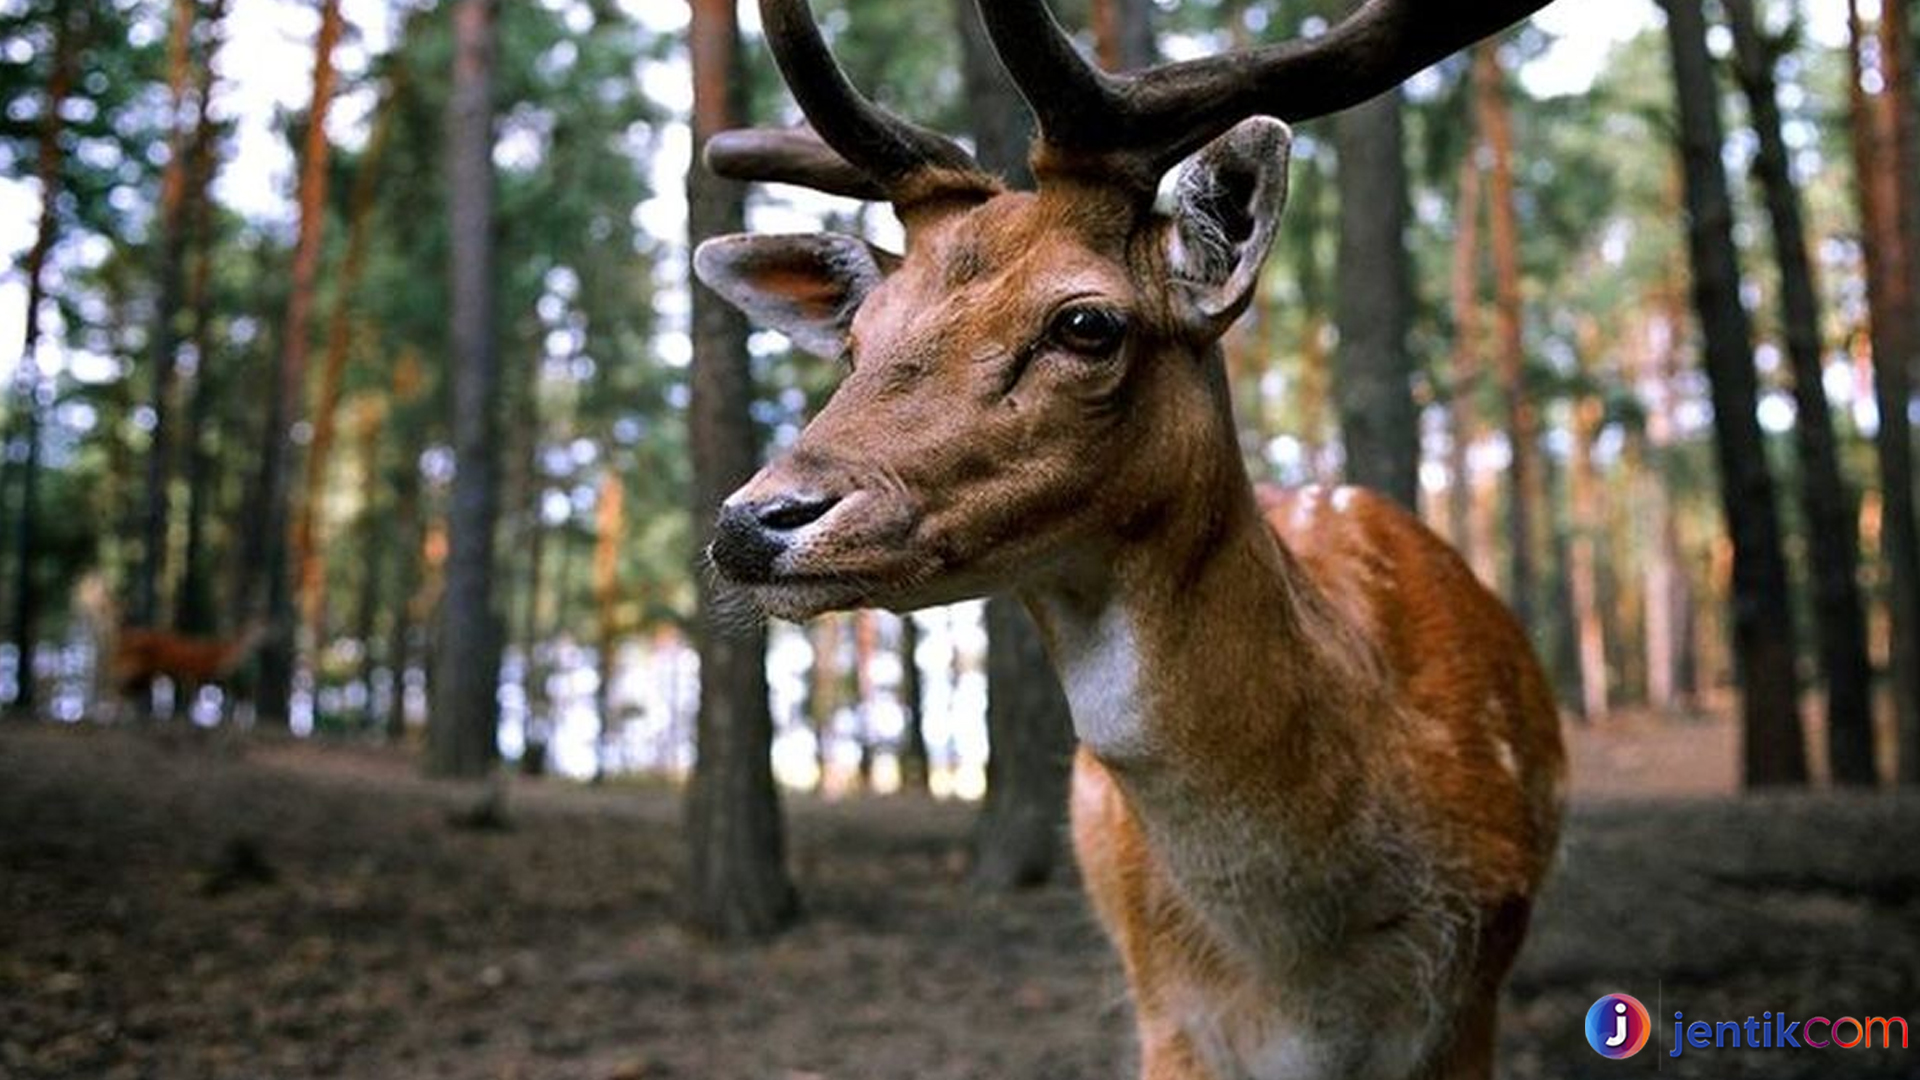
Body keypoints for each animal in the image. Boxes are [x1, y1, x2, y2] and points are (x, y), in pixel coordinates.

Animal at [698, 4, 1566, 1068]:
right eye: (858, 343)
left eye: (1086, 322)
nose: (753, 520)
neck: (1305, 985)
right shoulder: (1168, 1019)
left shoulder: (1472, 998)